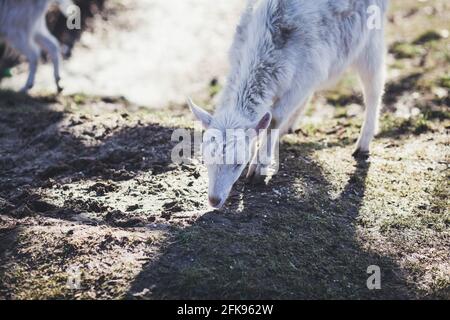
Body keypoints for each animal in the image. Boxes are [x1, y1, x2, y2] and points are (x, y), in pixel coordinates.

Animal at [188, 0, 388, 209]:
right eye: (205, 158)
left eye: (238, 163)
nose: (214, 200)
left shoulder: (305, 76)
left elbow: (274, 119)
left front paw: (259, 169)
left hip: (370, 38)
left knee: (374, 87)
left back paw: (363, 144)